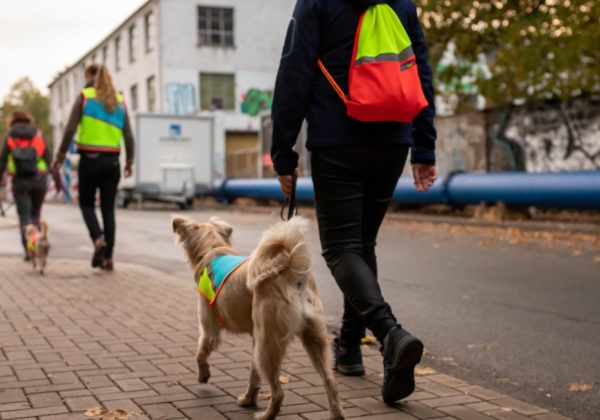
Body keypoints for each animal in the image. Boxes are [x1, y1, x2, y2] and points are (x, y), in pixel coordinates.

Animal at [171, 217, 344, 420]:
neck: (213, 249)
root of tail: (291, 272)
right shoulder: (255, 337)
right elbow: (254, 376)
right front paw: (249, 400)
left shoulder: (210, 329)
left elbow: (200, 353)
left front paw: (203, 375)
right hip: (311, 340)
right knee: (330, 381)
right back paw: (336, 414)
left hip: (268, 346)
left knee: (278, 392)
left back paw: (265, 415)